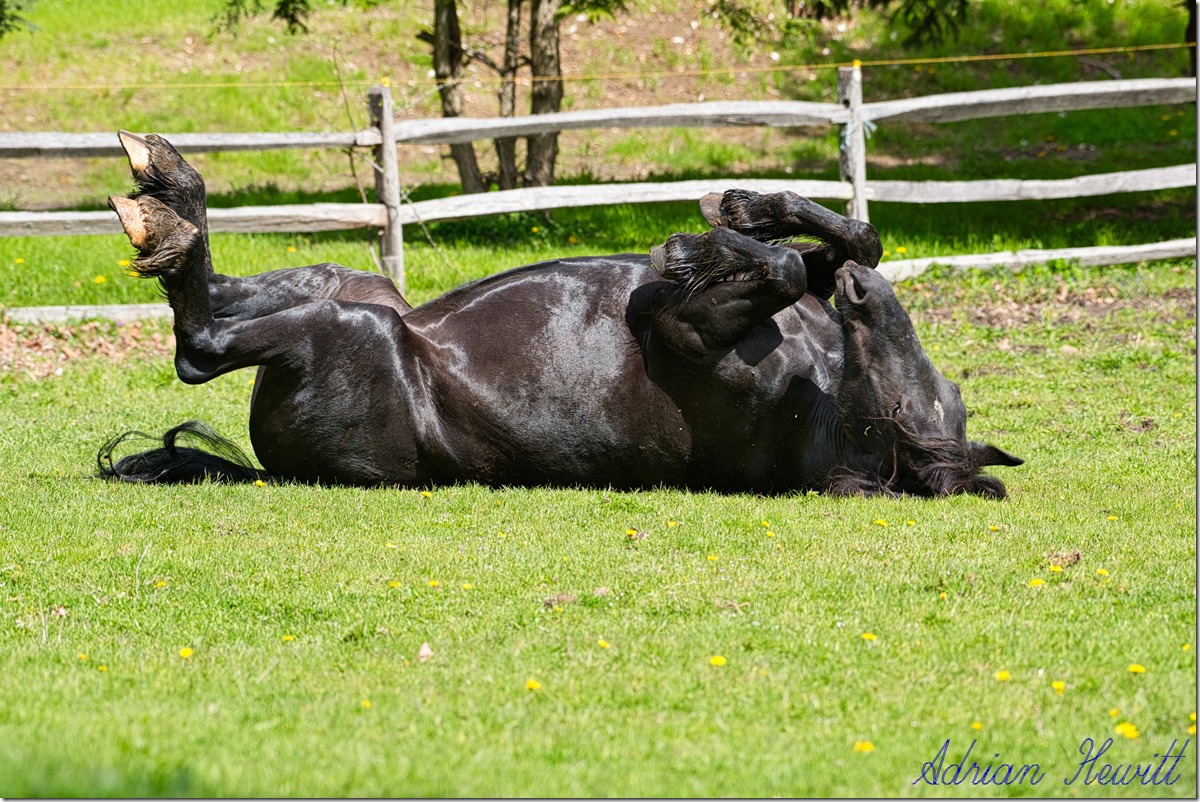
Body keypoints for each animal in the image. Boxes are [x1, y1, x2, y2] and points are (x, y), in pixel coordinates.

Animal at [98, 131, 1022, 497]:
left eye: (891, 416)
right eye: (935, 391)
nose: (867, 300)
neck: (823, 391)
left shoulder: (689, 333)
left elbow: (789, 265)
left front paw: (688, 249)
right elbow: (842, 238)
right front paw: (739, 212)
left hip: (352, 330)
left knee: (198, 343)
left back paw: (167, 213)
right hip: (354, 285)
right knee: (219, 294)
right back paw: (169, 194)